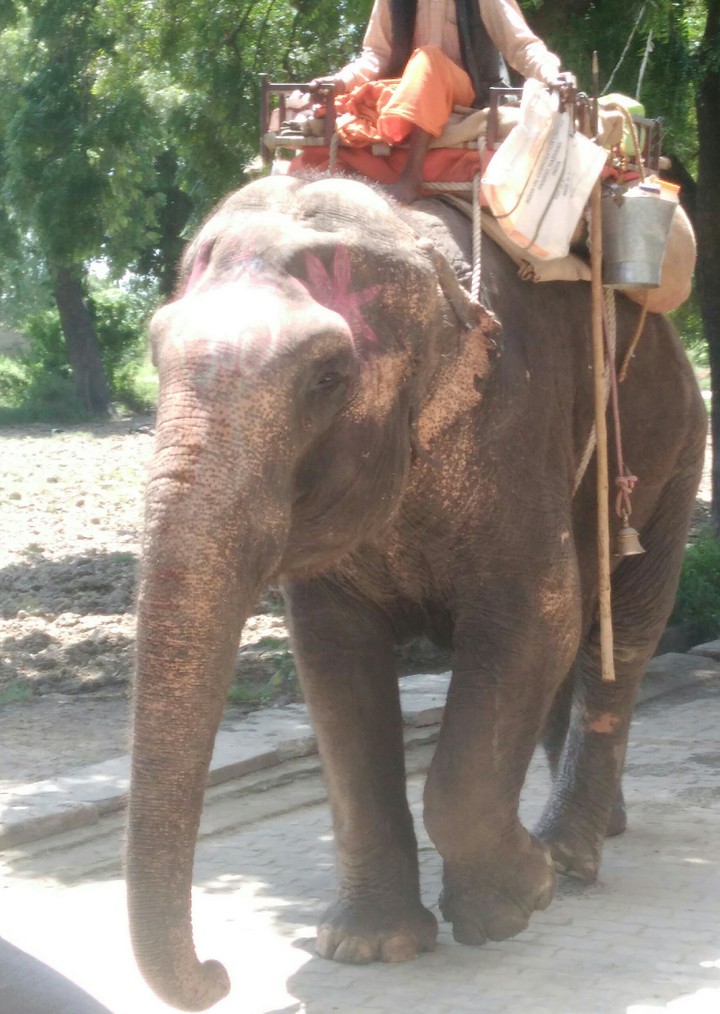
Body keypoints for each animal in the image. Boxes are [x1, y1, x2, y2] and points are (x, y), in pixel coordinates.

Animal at [127, 173, 706, 1011]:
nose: (218, 974)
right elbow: (333, 659)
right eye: (153, 350)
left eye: (327, 377)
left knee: (619, 628)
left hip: (675, 451)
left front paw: (518, 900)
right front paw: (367, 948)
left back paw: (570, 856)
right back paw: (598, 832)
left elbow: (539, 613)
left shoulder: (512, 424)